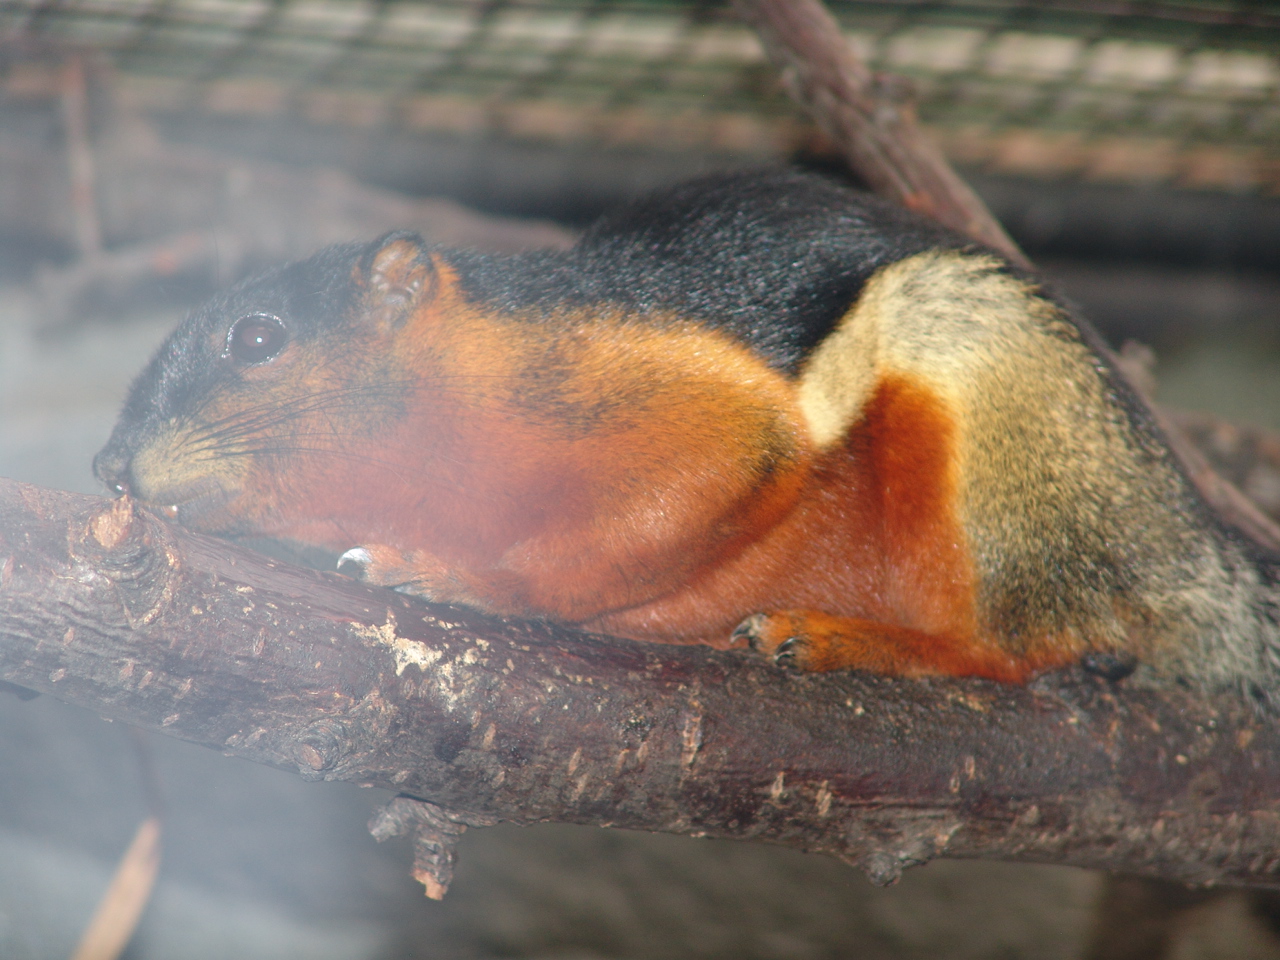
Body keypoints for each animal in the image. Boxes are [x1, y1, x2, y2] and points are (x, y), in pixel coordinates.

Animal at [94, 169, 1280, 703]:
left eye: (257, 339)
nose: (106, 464)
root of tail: (1178, 553)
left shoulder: (663, 391)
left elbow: (709, 474)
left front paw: (468, 580)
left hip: (1002, 452)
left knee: (1013, 648)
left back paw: (859, 638)